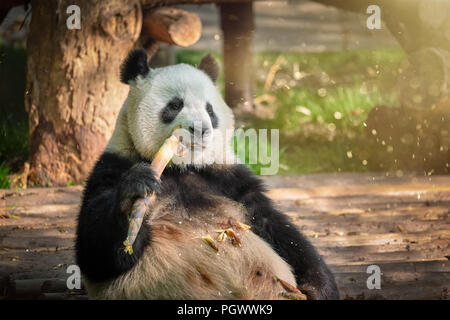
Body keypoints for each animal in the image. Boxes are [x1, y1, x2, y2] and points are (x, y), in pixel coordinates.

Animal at [75, 48, 340, 300]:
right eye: (175, 105)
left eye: (210, 110)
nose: (201, 129)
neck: (180, 167)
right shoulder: (112, 166)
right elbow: (97, 254)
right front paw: (135, 193)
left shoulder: (227, 177)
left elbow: (275, 226)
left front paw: (319, 288)